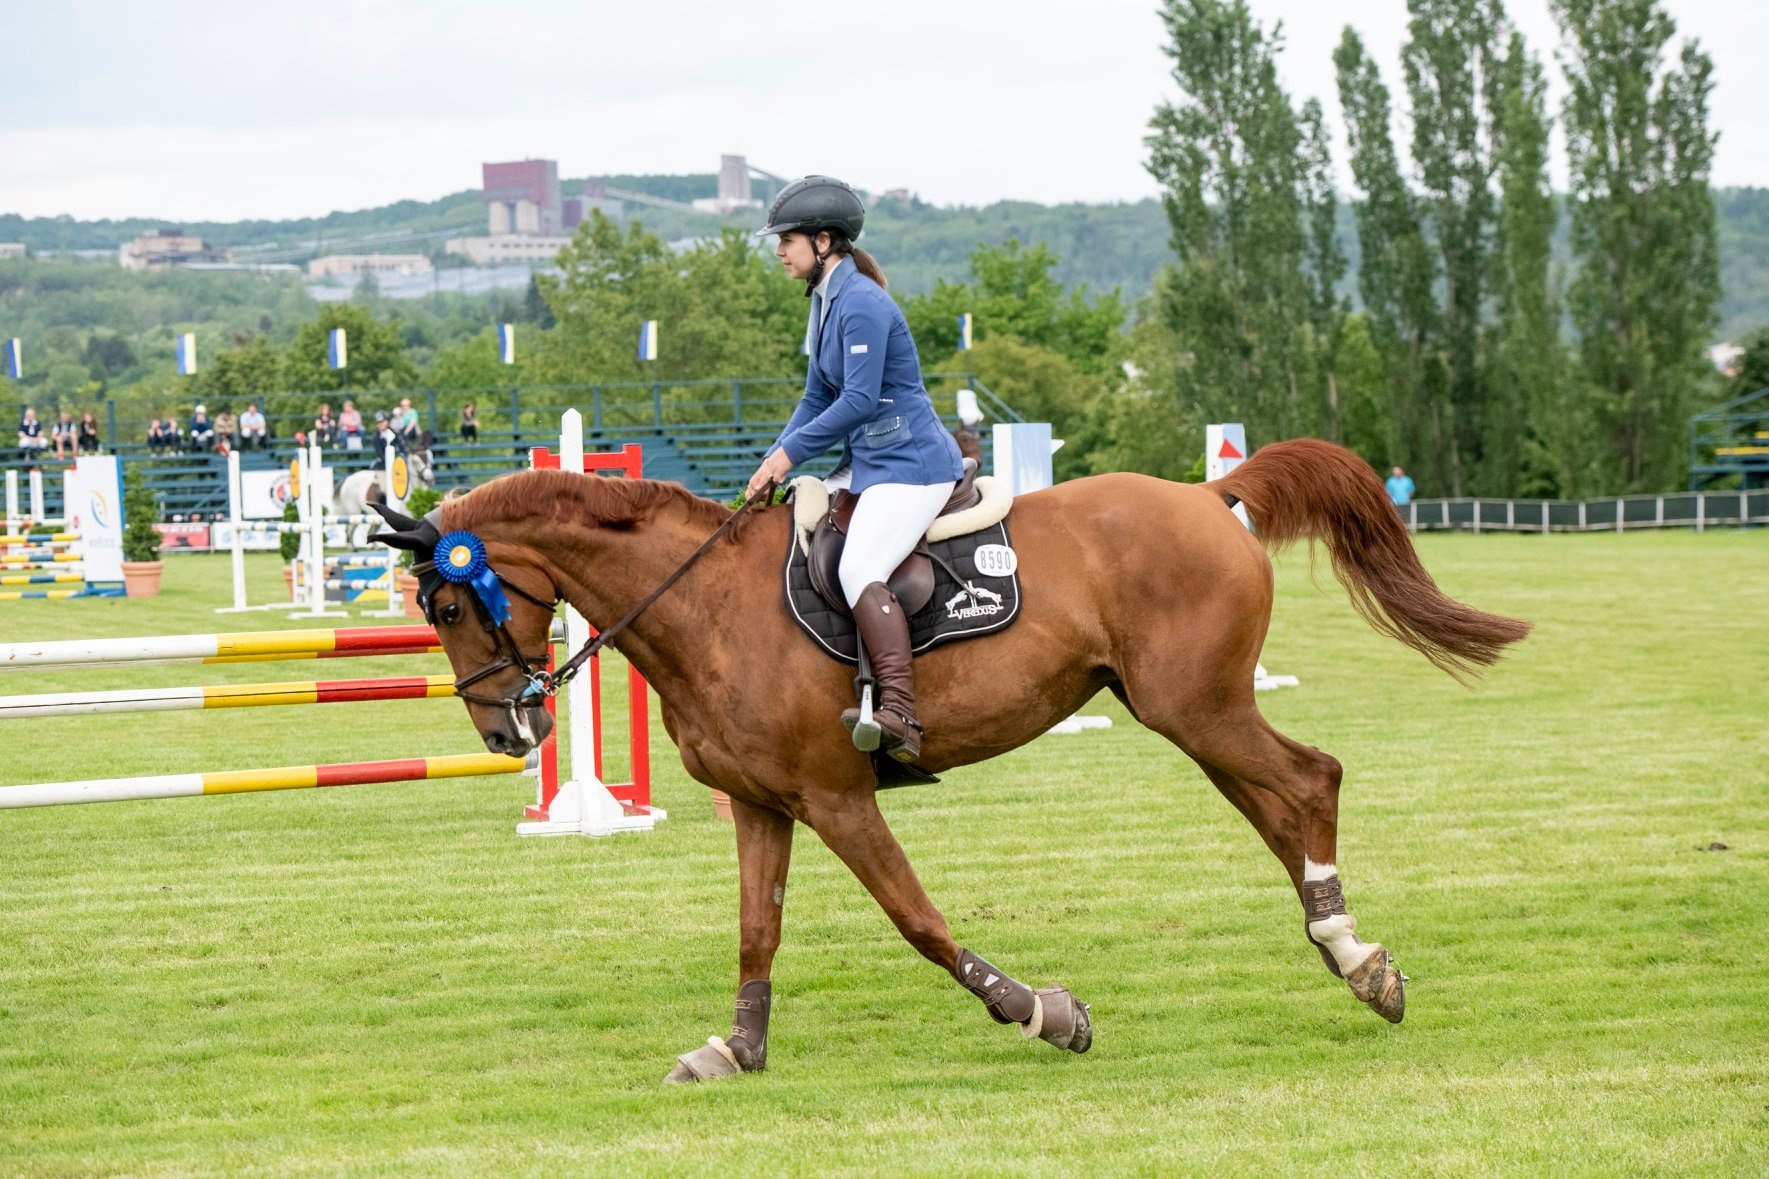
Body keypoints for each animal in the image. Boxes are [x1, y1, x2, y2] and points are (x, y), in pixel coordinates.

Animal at [380, 439, 1528, 1076]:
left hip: (1194, 707)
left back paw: (1357, 960)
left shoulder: (835, 795)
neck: (700, 604)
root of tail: (1208, 496)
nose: (504, 732)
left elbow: (919, 923)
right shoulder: (762, 804)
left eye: (450, 604)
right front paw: (736, 1050)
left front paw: (1044, 1014)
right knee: (1279, 800)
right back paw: (1351, 957)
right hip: (1187, 713)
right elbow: (757, 932)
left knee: (1306, 779)